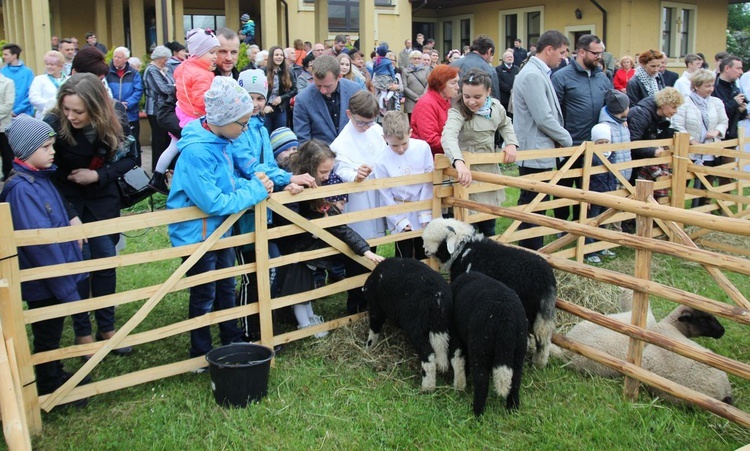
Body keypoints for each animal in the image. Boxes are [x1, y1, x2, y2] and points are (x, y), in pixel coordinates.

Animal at [362, 258, 456, 392]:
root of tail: (438, 299)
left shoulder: (376, 308)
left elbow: (374, 328)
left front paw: (369, 347)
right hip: (445, 325)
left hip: (417, 328)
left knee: (428, 357)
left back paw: (427, 387)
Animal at [424, 217, 560, 370]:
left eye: (438, 240)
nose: (425, 250)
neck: (463, 249)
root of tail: (546, 280)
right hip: (542, 312)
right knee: (543, 337)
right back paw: (540, 362)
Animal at [450, 272, 532, 416]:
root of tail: (506, 321)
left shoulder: (456, 333)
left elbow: (458, 359)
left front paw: (459, 385)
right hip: (519, 348)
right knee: (516, 379)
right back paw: (513, 408)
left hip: (481, 346)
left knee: (481, 380)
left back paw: (478, 412)